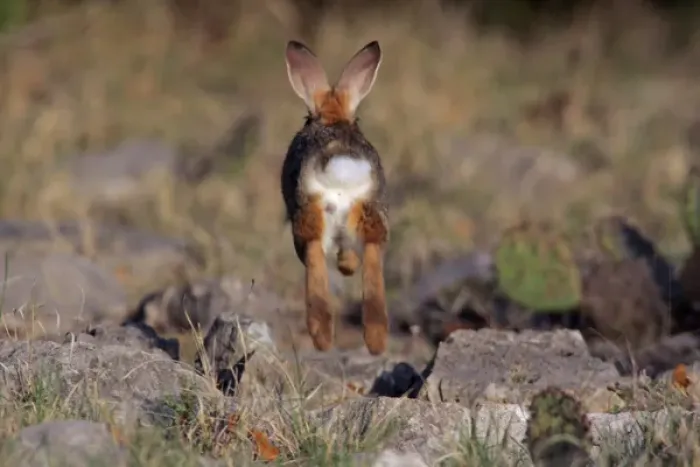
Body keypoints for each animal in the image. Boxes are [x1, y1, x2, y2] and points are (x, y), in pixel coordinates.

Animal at [280, 40, 389, 355]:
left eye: (307, 117)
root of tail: (342, 165)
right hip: (370, 211)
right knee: (372, 254)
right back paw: (376, 341)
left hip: (309, 216)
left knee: (314, 258)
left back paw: (322, 338)